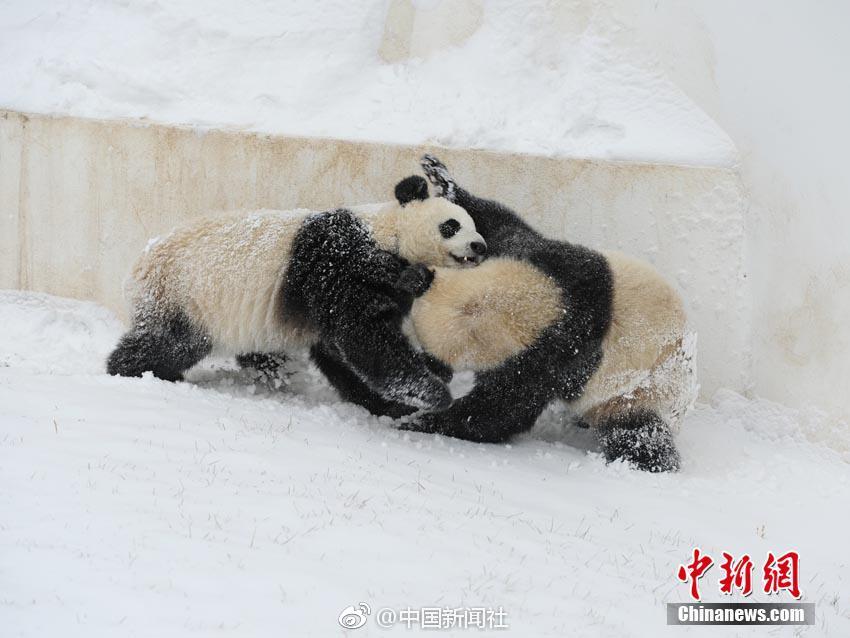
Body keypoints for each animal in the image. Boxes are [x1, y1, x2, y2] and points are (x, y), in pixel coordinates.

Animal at [107, 176, 484, 416]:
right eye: (451, 225)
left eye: (473, 223)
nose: (479, 246)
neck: (385, 233)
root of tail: (135, 268)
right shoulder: (338, 264)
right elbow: (365, 339)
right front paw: (433, 392)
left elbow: (339, 351)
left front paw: (385, 403)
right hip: (182, 295)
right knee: (170, 343)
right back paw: (133, 372)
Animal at [354, 158, 692, 472]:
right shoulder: (554, 266)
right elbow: (505, 226)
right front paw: (440, 176)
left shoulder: (552, 358)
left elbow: (499, 411)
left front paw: (417, 421)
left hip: (638, 389)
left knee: (639, 433)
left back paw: (645, 460)